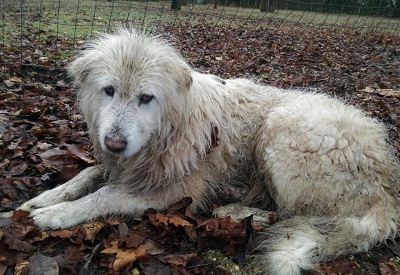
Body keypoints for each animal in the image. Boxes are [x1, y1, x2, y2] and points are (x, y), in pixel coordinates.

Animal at [19, 29, 400, 274]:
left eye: (146, 97)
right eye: (109, 90)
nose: (114, 143)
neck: (170, 126)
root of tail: (386, 188)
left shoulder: (172, 191)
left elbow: (106, 194)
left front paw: (56, 214)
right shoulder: (130, 164)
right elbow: (88, 173)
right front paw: (43, 199)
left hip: (282, 130)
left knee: (290, 213)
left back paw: (237, 212)